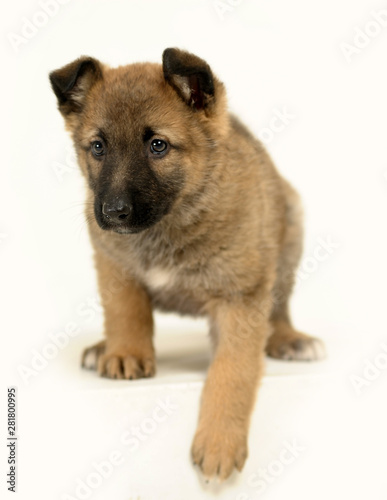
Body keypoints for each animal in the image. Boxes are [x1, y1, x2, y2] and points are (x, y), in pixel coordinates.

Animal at [50, 49, 326, 480]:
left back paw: (289, 338)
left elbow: (232, 372)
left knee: (279, 309)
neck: (170, 225)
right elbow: (125, 312)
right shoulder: (114, 266)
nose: (113, 212)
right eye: (97, 147)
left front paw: (219, 442)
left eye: (158, 145)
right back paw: (102, 347)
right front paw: (125, 352)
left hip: (288, 238)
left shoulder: (241, 298)